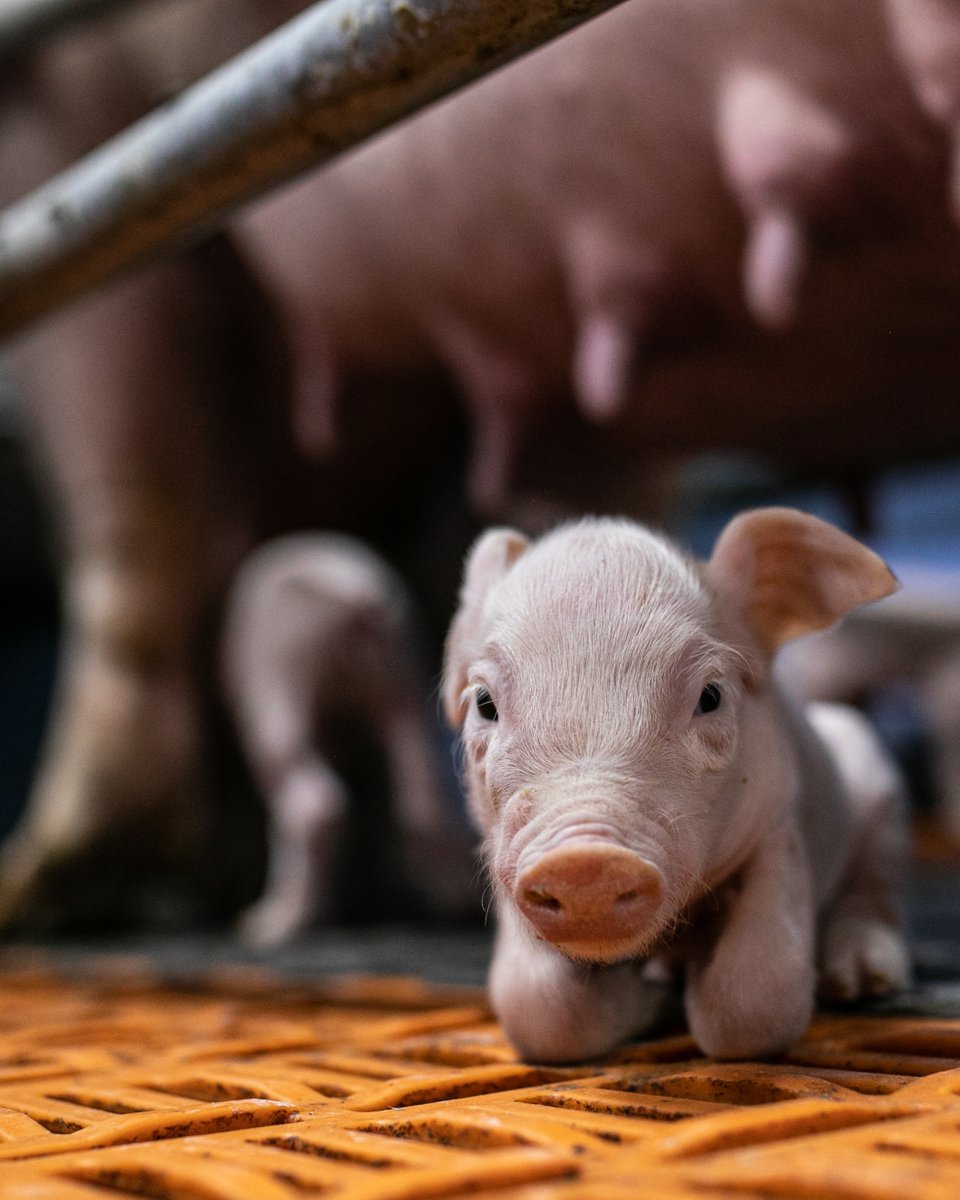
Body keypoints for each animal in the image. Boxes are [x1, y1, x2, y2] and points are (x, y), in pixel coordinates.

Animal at [220, 532, 475, 945]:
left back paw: (271, 926)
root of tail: (362, 596)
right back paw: (456, 906)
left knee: (309, 802)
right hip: (407, 678)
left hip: (281, 673)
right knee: (427, 792)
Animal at [443, 509, 911, 1061]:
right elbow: (536, 1008)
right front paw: (652, 994)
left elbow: (756, 999)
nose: (584, 863)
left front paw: (681, 996)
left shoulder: (778, 824)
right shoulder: (503, 854)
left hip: (879, 792)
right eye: (484, 703)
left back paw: (860, 983)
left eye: (710, 696)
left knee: (873, 890)